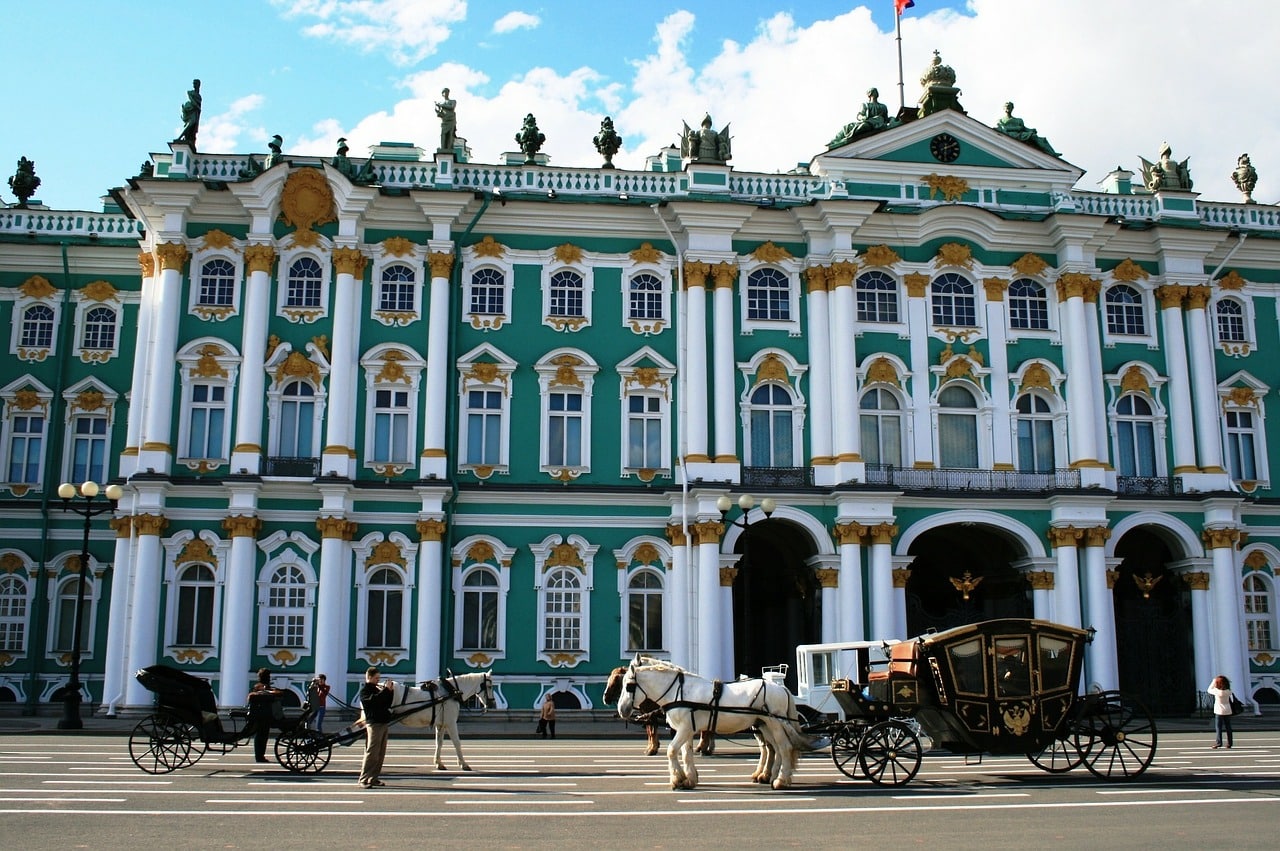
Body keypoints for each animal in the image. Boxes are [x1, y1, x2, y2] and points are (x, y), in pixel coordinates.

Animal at [616, 655, 814, 788]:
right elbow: (686, 753)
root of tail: (782, 688)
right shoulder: (687, 729)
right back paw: (770, 776)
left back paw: (781, 780)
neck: (680, 691)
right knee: (774, 748)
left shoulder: (685, 729)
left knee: (784, 747)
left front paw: (677, 779)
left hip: (775, 724)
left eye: (629, 686)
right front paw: (689, 779)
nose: (621, 710)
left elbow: (672, 750)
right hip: (764, 725)